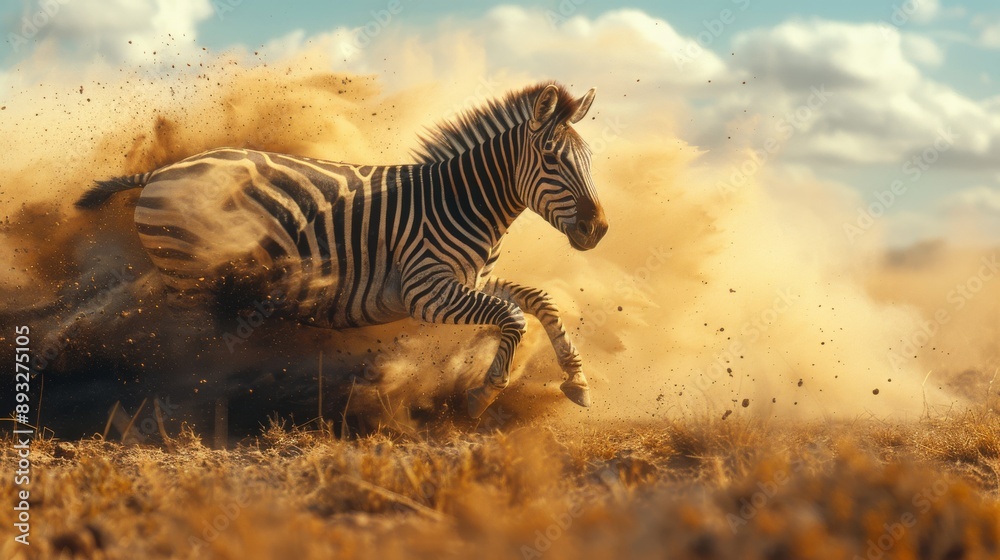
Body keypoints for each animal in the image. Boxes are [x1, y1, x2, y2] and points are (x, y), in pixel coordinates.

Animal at [75, 82, 609, 418]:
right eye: (552, 160)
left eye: (588, 159)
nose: (599, 230)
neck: (461, 201)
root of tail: (164, 170)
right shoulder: (424, 290)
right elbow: (512, 317)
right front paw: (482, 396)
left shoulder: (468, 279)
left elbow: (539, 300)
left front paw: (577, 381)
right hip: (190, 284)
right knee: (179, 352)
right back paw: (188, 411)